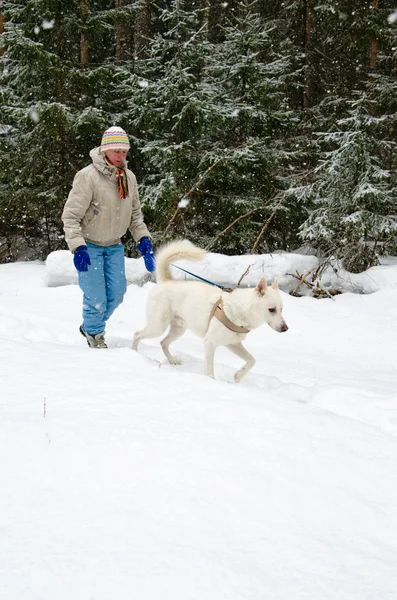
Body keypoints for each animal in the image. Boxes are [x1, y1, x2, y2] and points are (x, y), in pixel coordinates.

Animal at [133, 238, 288, 380]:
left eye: (281, 310)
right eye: (271, 309)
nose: (285, 328)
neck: (240, 312)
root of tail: (166, 281)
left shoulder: (233, 344)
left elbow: (252, 361)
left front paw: (238, 376)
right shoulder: (210, 344)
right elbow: (210, 372)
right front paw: (212, 382)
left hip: (178, 330)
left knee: (163, 343)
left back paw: (172, 361)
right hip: (157, 326)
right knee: (137, 334)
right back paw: (133, 352)